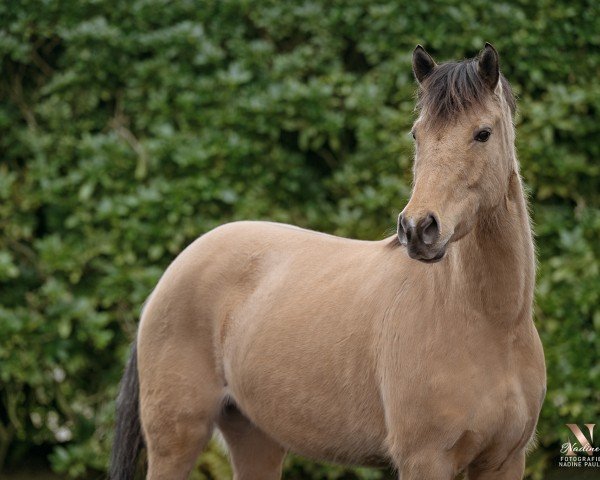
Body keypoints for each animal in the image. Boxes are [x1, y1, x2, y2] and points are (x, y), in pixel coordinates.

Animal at [110, 43, 548, 478]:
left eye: (483, 134)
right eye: (417, 134)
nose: (418, 228)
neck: (489, 324)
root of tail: (172, 273)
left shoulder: (505, 461)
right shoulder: (425, 460)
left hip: (255, 437)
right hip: (176, 442)